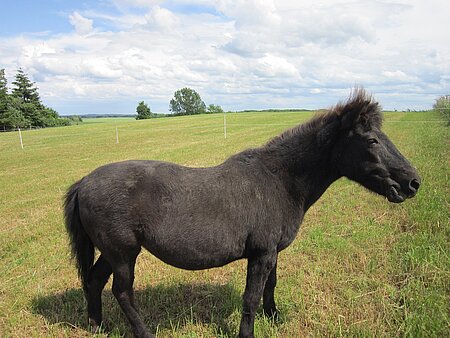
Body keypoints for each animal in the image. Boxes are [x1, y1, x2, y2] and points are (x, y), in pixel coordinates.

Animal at [65, 88, 420, 336]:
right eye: (372, 140)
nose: (413, 182)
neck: (278, 180)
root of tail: (84, 182)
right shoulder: (261, 254)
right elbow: (250, 297)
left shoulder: (272, 252)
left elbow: (270, 287)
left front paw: (275, 317)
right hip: (123, 254)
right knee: (122, 292)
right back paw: (143, 333)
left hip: (111, 253)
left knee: (94, 282)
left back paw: (97, 326)